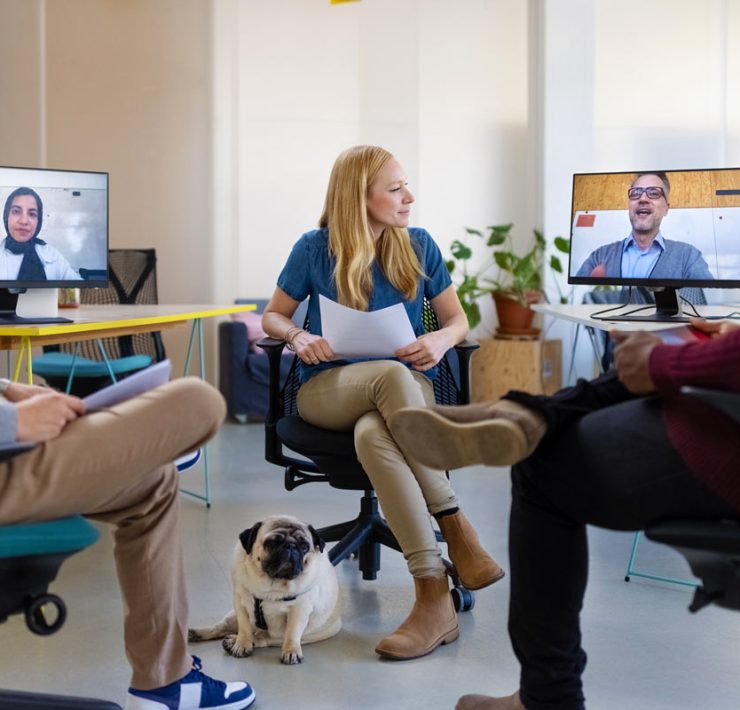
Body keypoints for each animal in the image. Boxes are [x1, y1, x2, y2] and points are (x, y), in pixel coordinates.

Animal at [189, 516, 342, 664]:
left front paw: (291, 651)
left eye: (304, 546)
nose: (291, 546)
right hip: (232, 616)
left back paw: (232, 640)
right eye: (272, 543)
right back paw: (198, 634)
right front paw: (242, 644)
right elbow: (244, 628)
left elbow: (292, 633)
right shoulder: (240, 602)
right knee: (221, 628)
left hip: (287, 637)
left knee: (262, 638)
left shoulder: (299, 609)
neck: (272, 583)